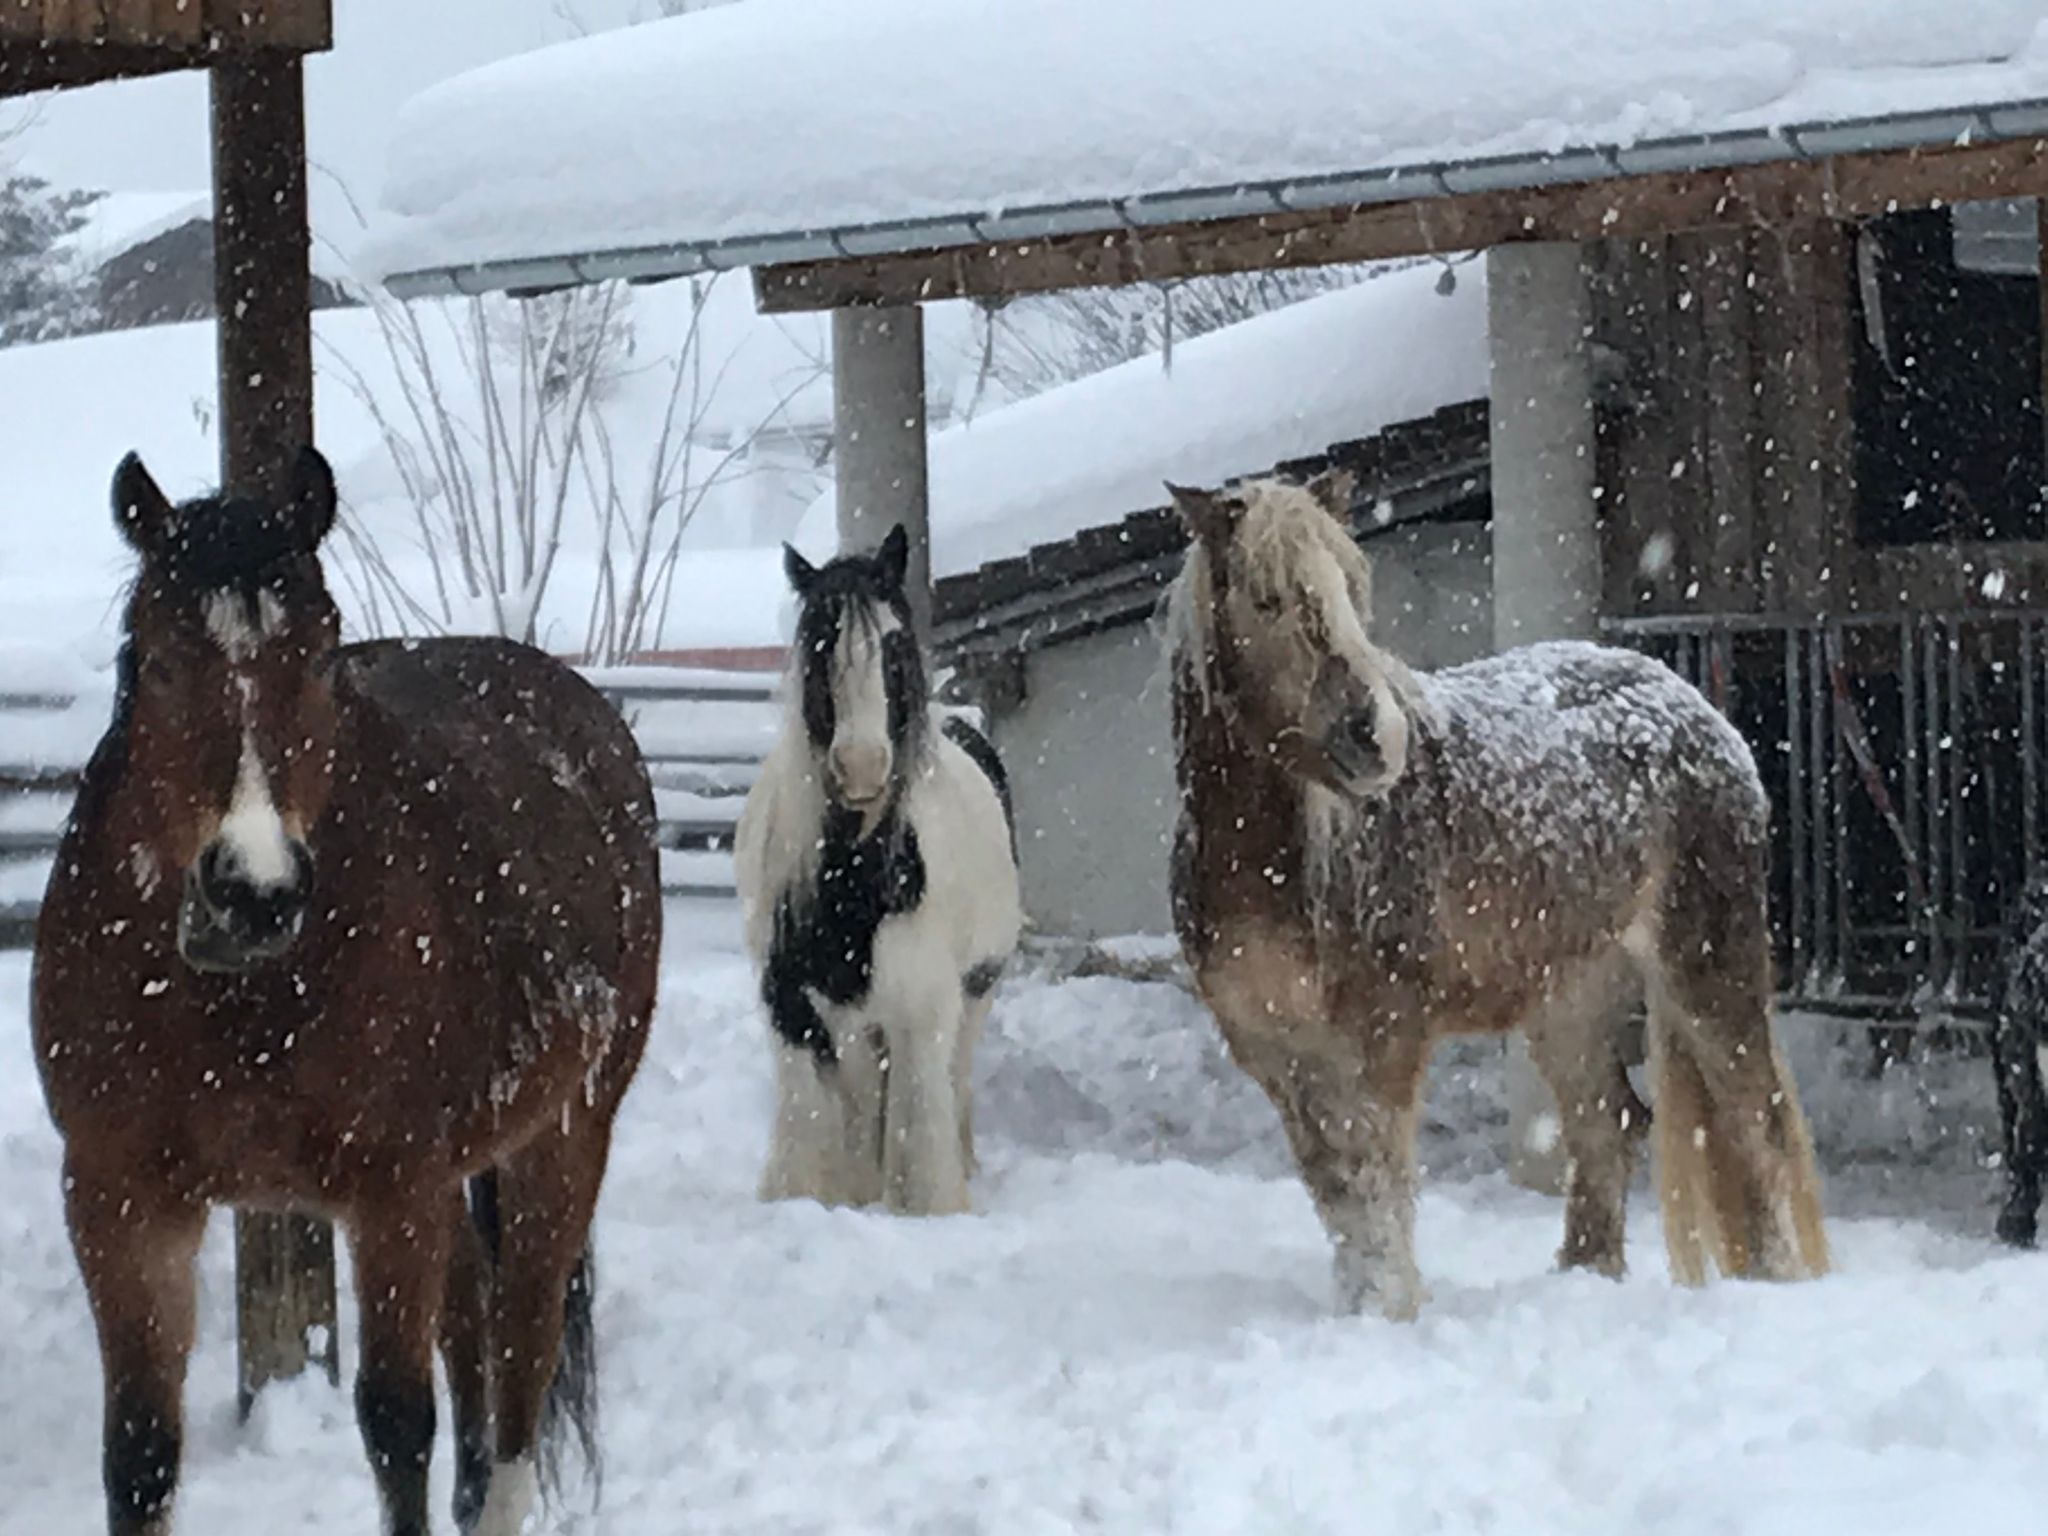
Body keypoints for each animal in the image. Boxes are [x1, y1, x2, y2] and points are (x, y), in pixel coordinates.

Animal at [32, 447, 660, 1536]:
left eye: (323, 657)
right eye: (158, 662)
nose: (253, 891)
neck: (236, 1002)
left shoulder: (390, 1192)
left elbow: (397, 1425)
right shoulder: (119, 1200)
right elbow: (141, 1455)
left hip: (564, 1141)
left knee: (518, 1373)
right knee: (475, 1343)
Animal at [735, 525, 1021, 1217]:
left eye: (892, 643)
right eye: (818, 646)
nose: (861, 766)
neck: (852, 885)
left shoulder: (922, 1008)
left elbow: (918, 1131)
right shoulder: (793, 1006)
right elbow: (815, 1132)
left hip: (976, 993)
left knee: (953, 1083)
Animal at [1163, 471, 1830, 1319]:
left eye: (1351, 587)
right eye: (1267, 598)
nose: (1375, 737)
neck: (1279, 860)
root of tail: (1697, 710)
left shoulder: (1384, 1035)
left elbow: (1378, 1180)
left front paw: (1392, 1309)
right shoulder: (1274, 1051)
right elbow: (1336, 1189)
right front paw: (1359, 1308)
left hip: (1709, 966)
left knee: (1754, 1125)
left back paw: (1775, 1285)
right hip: (1571, 995)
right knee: (1610, 1125)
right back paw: (1584, 1281)